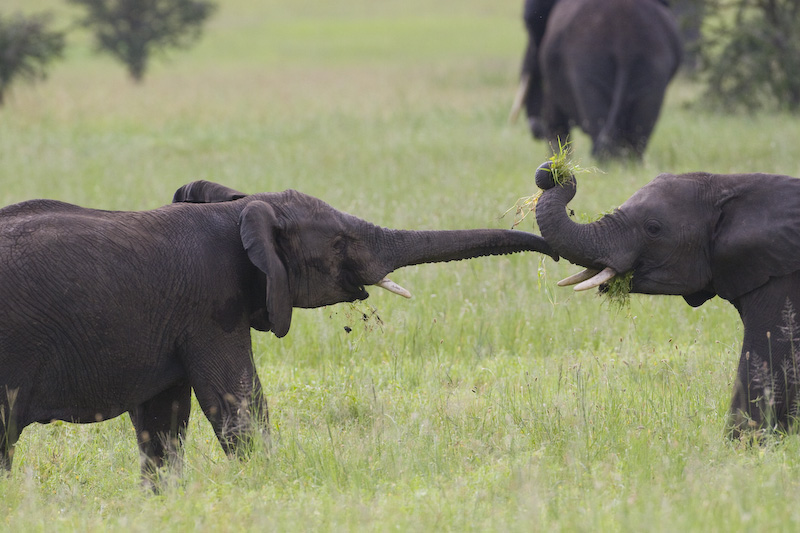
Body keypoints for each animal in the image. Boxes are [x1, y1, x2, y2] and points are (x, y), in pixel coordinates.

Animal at [0, 181, 556, 484]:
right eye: (340, 242)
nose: (555, 248)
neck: (237, 209)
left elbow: (162, 423)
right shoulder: (210, 309)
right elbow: (237, 406)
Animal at [510, 0, 684, 159]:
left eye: (528, 24)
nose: (535, 128)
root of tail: (625, 43)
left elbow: (556, 124)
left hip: (587, 61)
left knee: (597, 124)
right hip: (652, 63)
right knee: (639, 131)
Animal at [536, 163, 800, 436]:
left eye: (653, 228)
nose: (552, 171)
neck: (729, 184)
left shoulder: (781, 281)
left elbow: (765, 356)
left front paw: (744, 442)